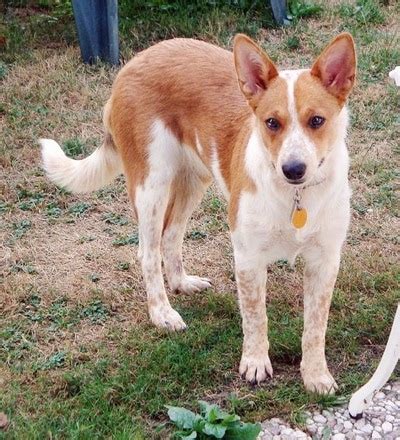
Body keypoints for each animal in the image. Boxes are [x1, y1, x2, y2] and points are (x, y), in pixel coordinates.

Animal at [41, 32, 356, 394]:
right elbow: (255, 317)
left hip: (194, 179)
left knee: (171, 235)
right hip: (151, 184)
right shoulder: (248, 258)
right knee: (148, 252)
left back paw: (182, 283)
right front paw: (255, 362)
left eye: (317, 120)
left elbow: (315, 326)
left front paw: (316, 375)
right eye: (271, 123)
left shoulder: (325, 260)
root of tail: (131, 65)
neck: (296, 197)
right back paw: (162, 313)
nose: (293, 169)